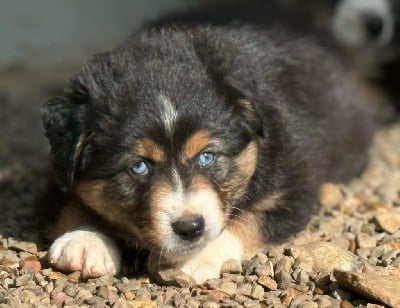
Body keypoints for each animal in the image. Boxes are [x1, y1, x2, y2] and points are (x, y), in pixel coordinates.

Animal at [39, 10, 374, 284]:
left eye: (207, 157)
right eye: (138, 166)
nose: (190, 227)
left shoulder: (292, 188)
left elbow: (249, 220)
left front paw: (199, 255)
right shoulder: (57, 167)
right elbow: (73, 201)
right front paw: (84, 240)